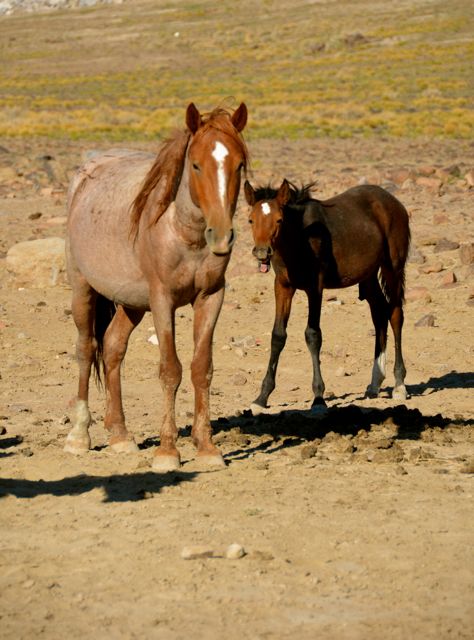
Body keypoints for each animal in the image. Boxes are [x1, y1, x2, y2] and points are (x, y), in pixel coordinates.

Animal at [64, 102, 249, 471]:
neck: (183, 234)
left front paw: (207, 448)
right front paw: (167, 452)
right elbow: (170, 370)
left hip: (131, 303)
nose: (221, 236)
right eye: (196, 165)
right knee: (86, 348)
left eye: (239, 164)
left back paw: (120, 435)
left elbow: (201, 369)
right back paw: (79, 436)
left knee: (113, 347)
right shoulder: (163, 300)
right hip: (82, 288)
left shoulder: (211, 297)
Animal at [244, 178, 410, 414]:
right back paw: (375, 383)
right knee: (379, 314)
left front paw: (318, 397)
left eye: (279, 220)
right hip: (368, 276)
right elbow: (278, 336)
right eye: (251, 220)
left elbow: (313, 335)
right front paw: (262, 397)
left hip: (392, 267)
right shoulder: (283, 287)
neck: (299, 239)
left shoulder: (315, 287)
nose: (261, 253)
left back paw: (399, 385)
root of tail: (394, 202)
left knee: (395, 315)